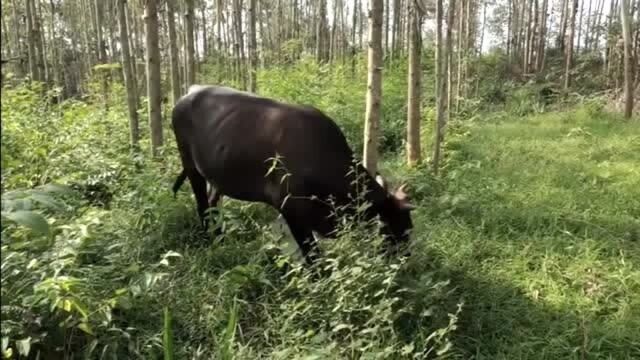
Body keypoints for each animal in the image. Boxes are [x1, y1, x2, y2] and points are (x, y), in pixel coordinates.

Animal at [169, 84, 416, 264]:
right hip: (190, 165)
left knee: (213, 202)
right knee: (202, 205)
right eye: (399, 228)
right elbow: (312, 256)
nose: (406, 259)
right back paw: (210, 240)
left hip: (217, 175)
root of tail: (189, 93)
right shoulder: (290, 209)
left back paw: (220, 237)